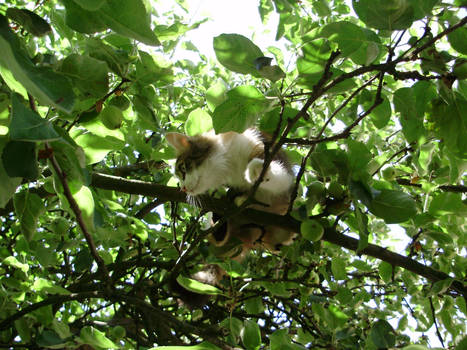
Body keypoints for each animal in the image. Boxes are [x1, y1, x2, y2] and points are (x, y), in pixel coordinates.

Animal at [166, 129, 294, 306]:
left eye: (183, 169)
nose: (183, 189)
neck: (229, 166)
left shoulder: (273, 164)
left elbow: (276, 176)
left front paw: (256, 170)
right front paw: (230, 195)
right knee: (220, 239)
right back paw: (220, 219)